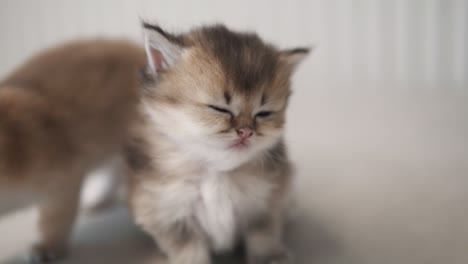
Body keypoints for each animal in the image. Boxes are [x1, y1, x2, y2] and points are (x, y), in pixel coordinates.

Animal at [128, 23, 308, 264]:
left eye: (264, 113)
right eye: (219, 109)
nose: (246, 132)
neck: (217, 173)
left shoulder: (264, 205)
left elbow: (263, 236)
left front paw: (270, 257)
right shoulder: (167, 214)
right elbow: (189, 251)